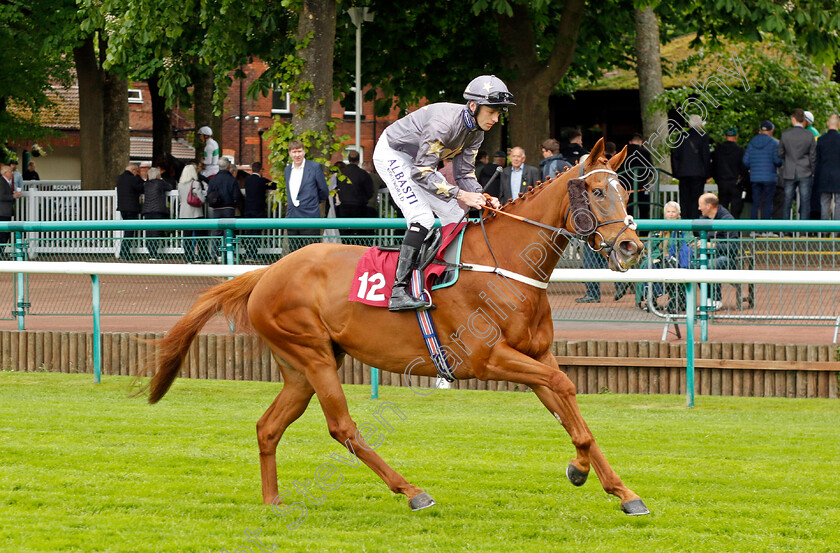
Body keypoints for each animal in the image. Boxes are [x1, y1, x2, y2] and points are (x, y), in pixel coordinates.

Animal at [146, 137, 648, 512]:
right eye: (598, 192)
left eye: (625, 192)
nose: (631, 247)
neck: (505, 264)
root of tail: (267, 272)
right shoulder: (488, 359)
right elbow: (565, 388)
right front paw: (580, 470)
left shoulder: (535, 355)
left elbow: (570, 408)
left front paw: (621, 490)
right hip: (312, 356)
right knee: (343, 428)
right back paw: (412, 491)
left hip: (300, 368)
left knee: (268, 426)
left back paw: (273, 502)